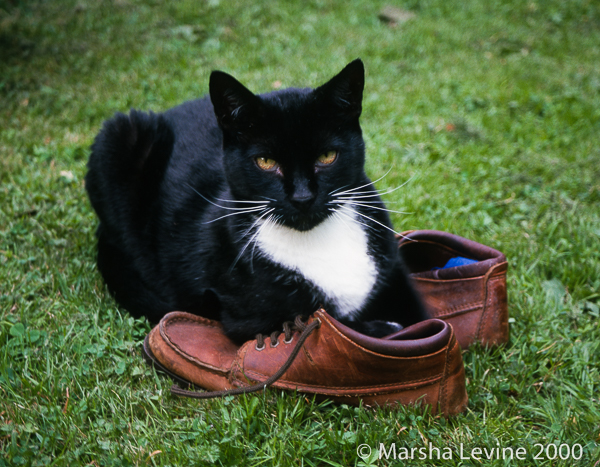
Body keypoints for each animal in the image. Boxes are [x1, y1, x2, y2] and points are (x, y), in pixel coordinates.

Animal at [86, 60, 428, 342]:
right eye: (265, 161)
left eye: (327, 156)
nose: (302, 196)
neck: (318, 241)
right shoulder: (249, 317)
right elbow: (323, 321)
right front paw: (382, 327)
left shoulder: (393, 273)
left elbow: (426, 322)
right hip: (119, 137)